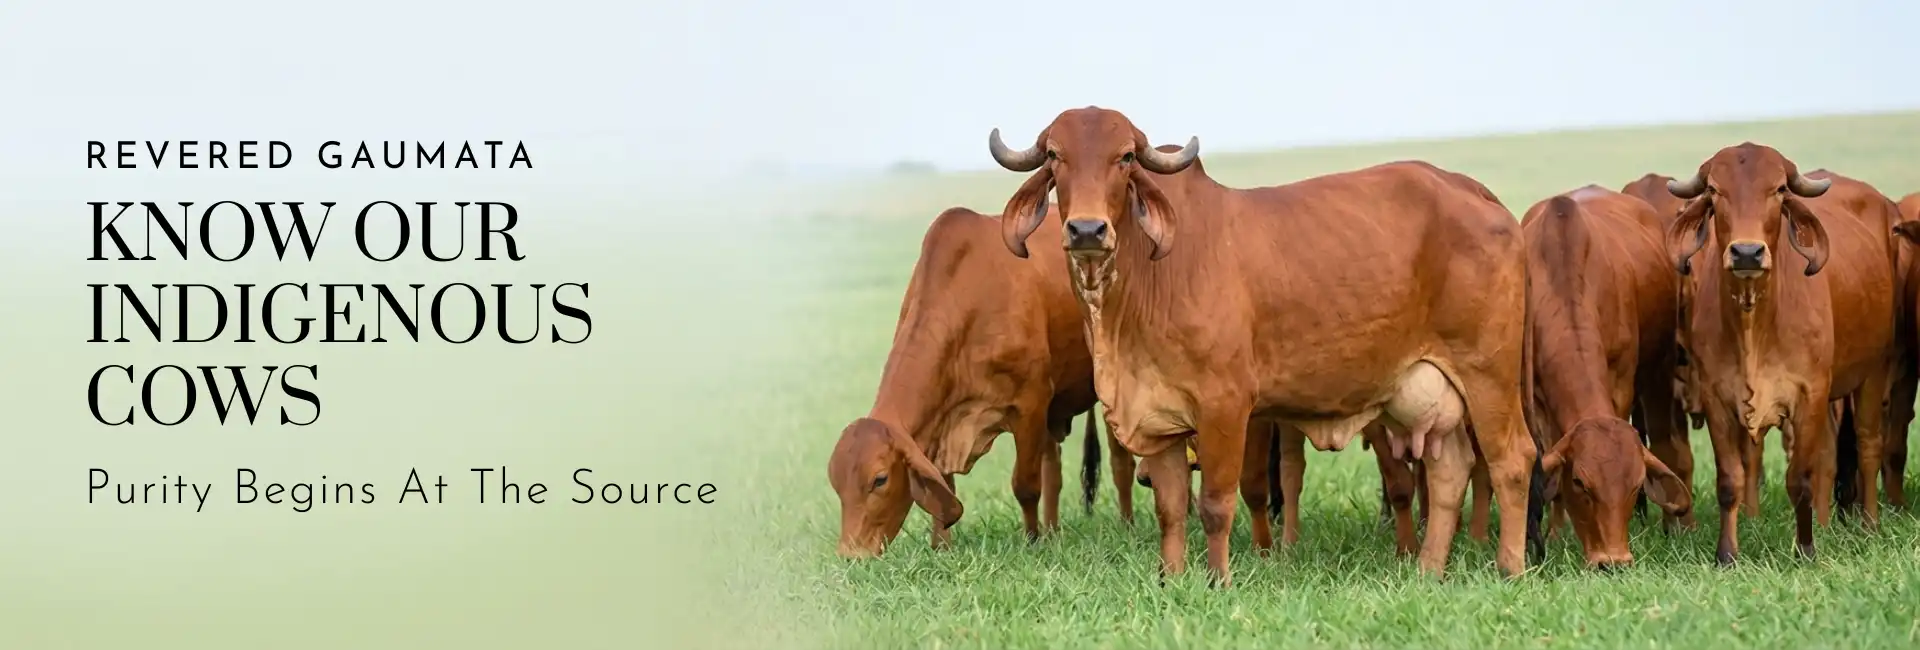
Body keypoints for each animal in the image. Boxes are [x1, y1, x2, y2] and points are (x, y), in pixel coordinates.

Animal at [827, 206, 1100, 558]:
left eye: (880, 480)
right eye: (836, 484)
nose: (851, 555)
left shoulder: (1030, 404)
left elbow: (1025, 486)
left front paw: (1031, 542)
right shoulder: (941, 420)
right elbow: (944, 488)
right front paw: (941, 548)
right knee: (1053, 467)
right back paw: (1053, 532)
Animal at [985, 107, 1534, 584]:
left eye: (1124, 157)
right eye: (1054, 154)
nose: (1086, 229)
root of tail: (1475, 191)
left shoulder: (1225, 407)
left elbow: (1215, 504)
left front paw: (1218, 580)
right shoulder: (1159, 419)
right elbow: (1170, 507)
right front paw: (1170, 577)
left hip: (1488, 375)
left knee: (1511, 460)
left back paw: (1509, 567)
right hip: (1424, 390)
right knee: (1449, 470)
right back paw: (1428, 570)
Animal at [1520, 186, 1696, 568]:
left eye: (1636, 485)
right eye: (1579, 482)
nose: (1613, 561)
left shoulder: (1623, 381)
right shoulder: (1538, 399)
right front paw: (1556, 534)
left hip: (1659, 371)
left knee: (1667, 445)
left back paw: (1675, 527)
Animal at [1664, 143, 1902, 564]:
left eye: (1777, 190)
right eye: (1715, 190)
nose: (1746, 253)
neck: (1754, 322)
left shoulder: (1810, 394)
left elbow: (1800, 479)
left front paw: (1805, 549)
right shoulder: (1715, 398)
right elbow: (1731, 480)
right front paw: (1727, 554)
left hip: (1874, 370)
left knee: (1869, 445)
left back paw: (1869, 524)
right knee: (1828, 455)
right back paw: (1825, 522)